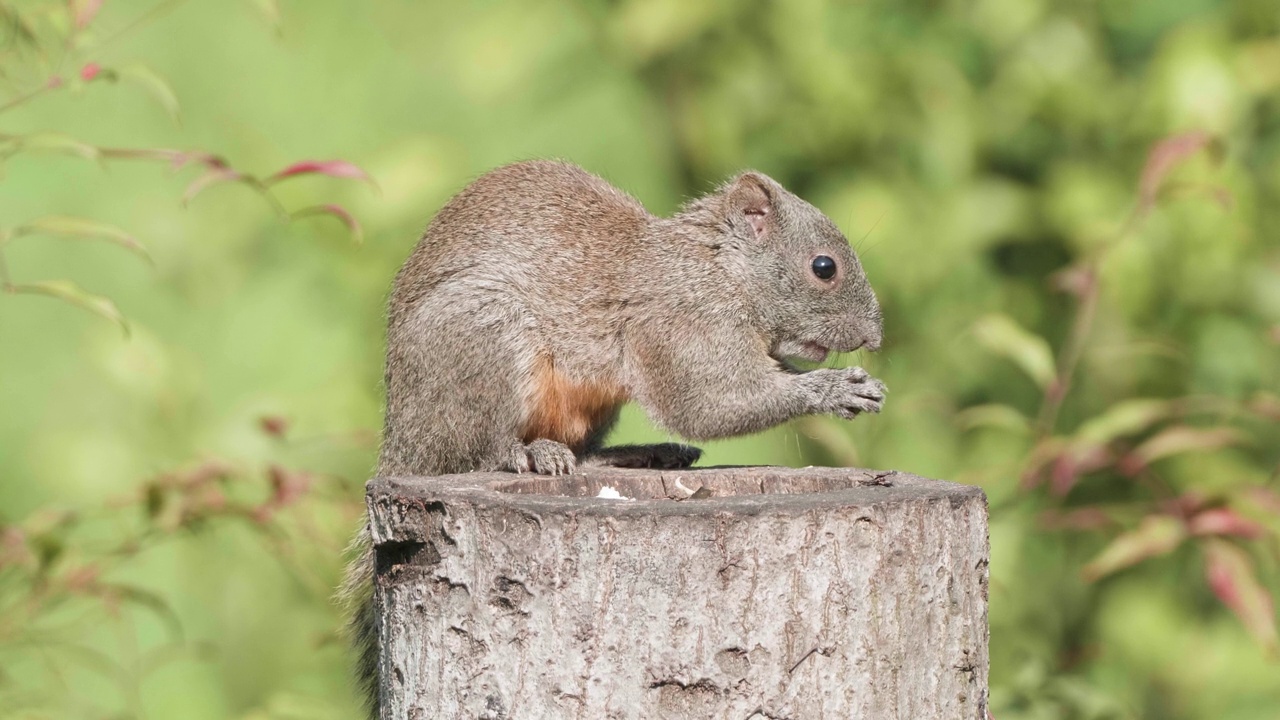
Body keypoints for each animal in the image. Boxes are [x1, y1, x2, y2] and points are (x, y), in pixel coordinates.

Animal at [340, 159, 885, 712]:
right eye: (824, 267)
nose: (875, 337)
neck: (719, 269)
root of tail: (403, 437)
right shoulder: (683, 322)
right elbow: (711, 403)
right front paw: (834, 389)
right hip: (484, 337)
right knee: (484, 449)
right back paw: (531, 454)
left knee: (584, 455)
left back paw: (641, 454)